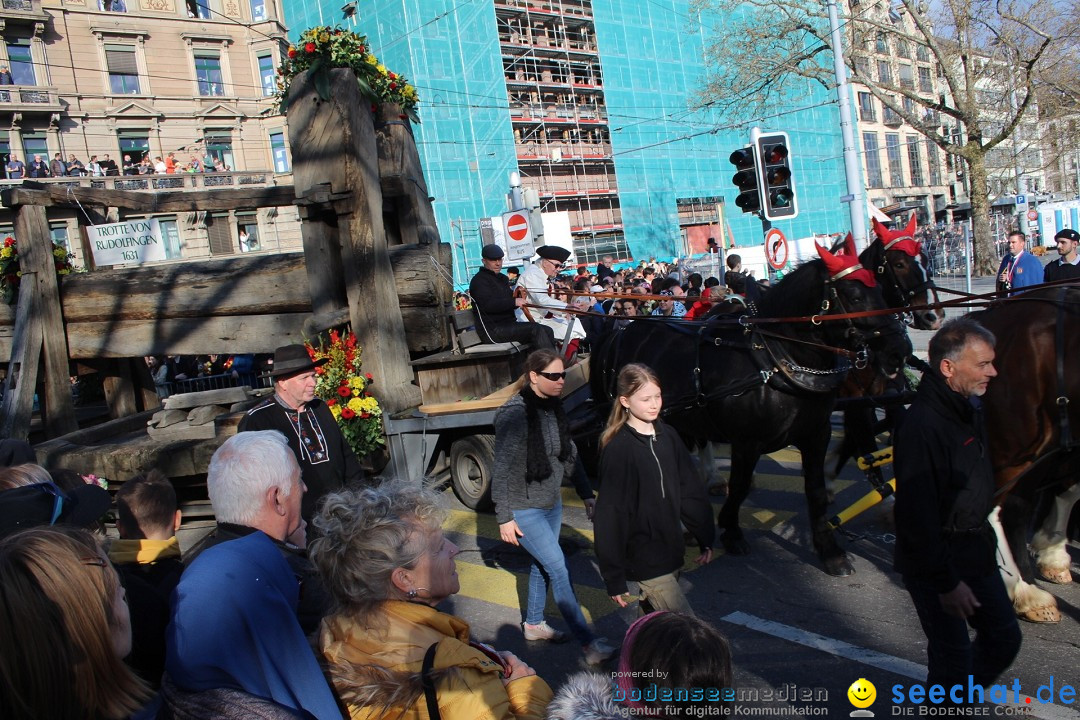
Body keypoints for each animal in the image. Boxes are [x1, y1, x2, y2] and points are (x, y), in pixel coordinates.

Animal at [591, 239, 911, 578]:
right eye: (854, 296)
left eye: (879, 288)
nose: (899, 350)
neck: (775, 359)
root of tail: (619, 333)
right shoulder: (747, 442)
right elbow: (740, 486)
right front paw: (731, 531)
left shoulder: (817, 433)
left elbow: (814, 488)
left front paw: (830, 550)